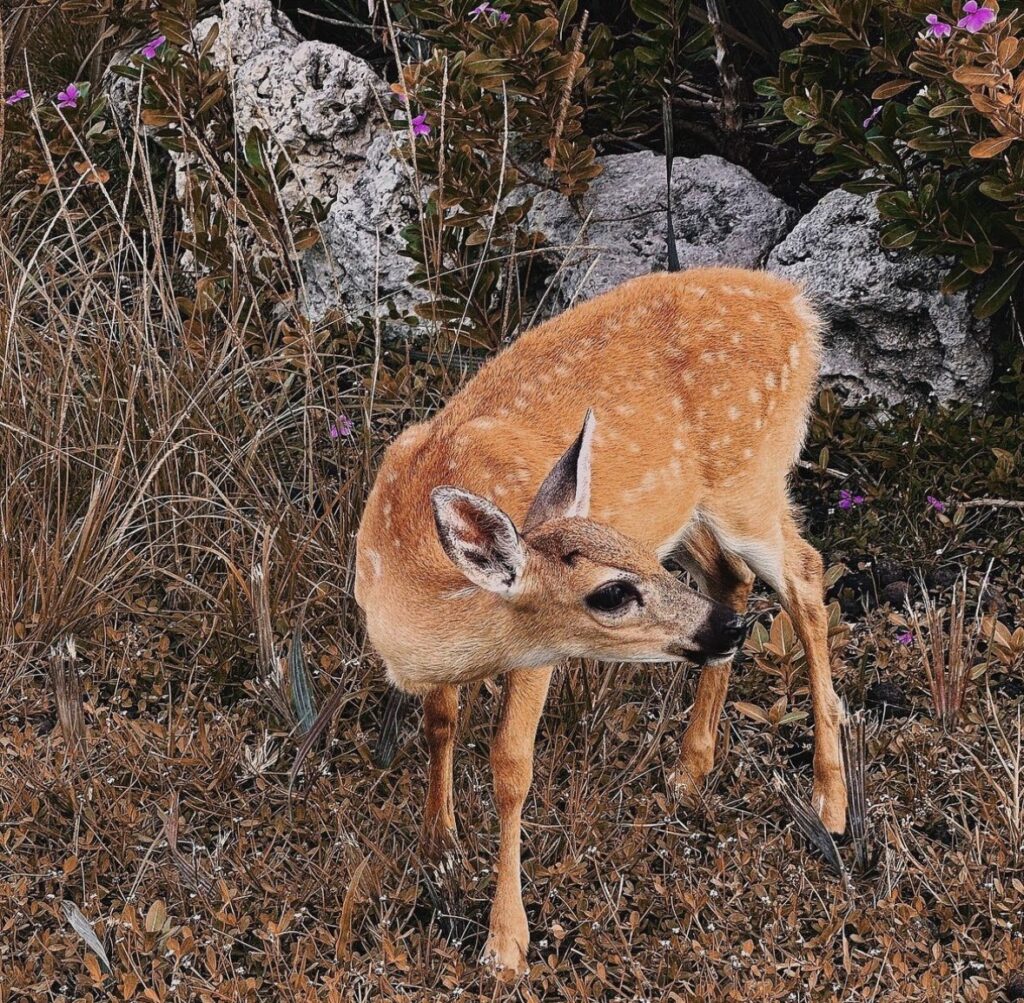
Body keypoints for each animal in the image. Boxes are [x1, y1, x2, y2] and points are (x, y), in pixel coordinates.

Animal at [352, 262, 847, 975]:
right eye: (613, 590)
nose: (727, 633)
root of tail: (800, 308)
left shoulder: (537, 655)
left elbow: (511, 767)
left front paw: (506, 942)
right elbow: (439, 722)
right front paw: (437, 840)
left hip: (750, 483)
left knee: (806, 575)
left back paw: (830, 803)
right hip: (696, 512)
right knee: (735, 579)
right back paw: (690, 770)